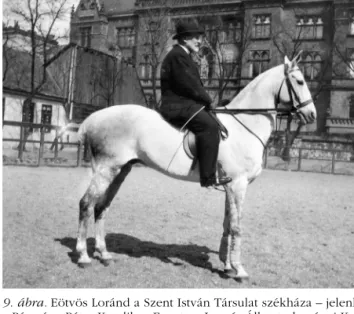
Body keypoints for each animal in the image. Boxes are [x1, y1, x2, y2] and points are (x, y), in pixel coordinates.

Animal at [76, 54, 316, 280]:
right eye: (300, 81)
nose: (312, 114)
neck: (244, 125)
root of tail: (93, 119)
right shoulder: (238, 185)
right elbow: (237, 227)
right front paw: (239, 270)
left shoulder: (229, 187)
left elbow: (227, 224)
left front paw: (227, 265)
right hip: (106, 170)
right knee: (86, 204)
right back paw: (83, 256)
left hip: (120, 171)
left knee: (101, 207)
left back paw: (104, 254)